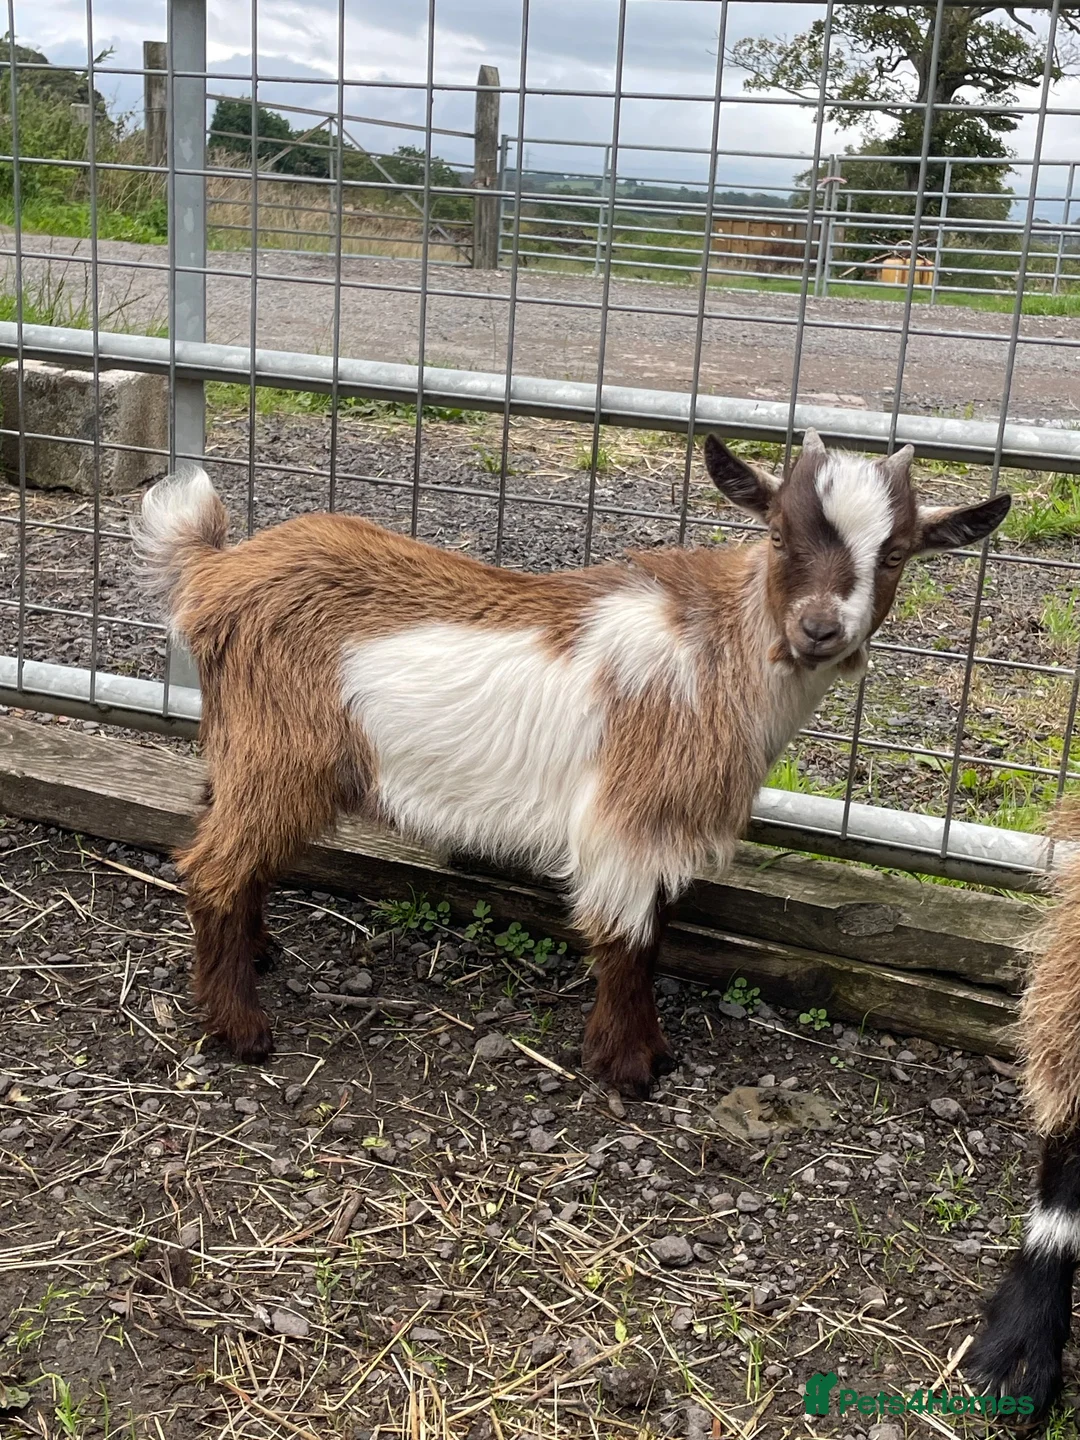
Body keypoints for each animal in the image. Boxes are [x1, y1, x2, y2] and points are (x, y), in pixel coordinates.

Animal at [132, 430, 1010, 1095]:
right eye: (778, 536)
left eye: (895, 554)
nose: (820, 629)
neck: (722, 646)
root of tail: (216, 572)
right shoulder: (629, 813)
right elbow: (630, 938)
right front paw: (629, 1065)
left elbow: (654, 926)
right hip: (284, 752)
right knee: (211, 866)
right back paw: (240, 1027)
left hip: (245, 745)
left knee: (220, 835)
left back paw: (256, 954)